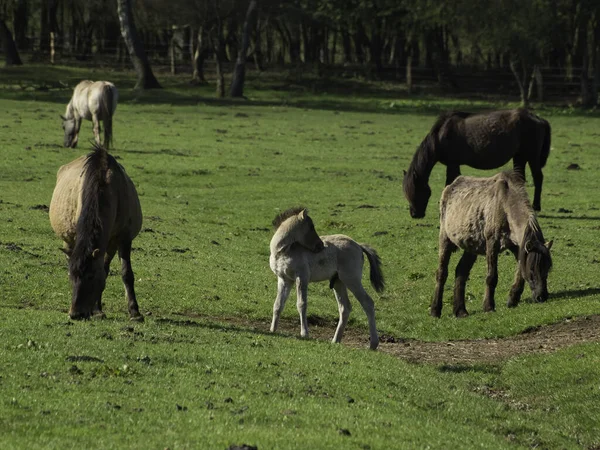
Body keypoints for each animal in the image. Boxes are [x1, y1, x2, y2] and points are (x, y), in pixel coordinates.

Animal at [49, 144, 143, 320]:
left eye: (91, 275)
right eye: (72, 276)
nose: (76, 314)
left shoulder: (124, 239)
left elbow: (126, 273)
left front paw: (135, 312)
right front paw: (96, 310)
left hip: (110, 244)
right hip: (68, 240)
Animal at [268, 207, 384, 352]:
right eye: (311, 227)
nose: (320, 246)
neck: (282, 252)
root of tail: (358, 245)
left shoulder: (302, 277)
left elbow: (301, 304)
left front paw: (304, 333)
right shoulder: (284, 280)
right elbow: (278, 304)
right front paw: (272, 330)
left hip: (351, 280)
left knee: (367, 303)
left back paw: (373, 344)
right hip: (339, 283)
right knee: (345, 308)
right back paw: (335, 340)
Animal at [432, 171, 552, 318]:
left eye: (547, 268)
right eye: (532, 270)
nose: (542, 297)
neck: (505, 204)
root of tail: (450, 186)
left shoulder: (517, 247)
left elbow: (520, 272)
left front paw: (513, 298)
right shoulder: (492, 244)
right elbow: (491, 277)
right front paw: (488, 306)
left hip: (471, 248)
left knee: (461, 272)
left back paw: (460, 311)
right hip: (445, 239)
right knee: (441, 273)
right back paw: (435, 310)